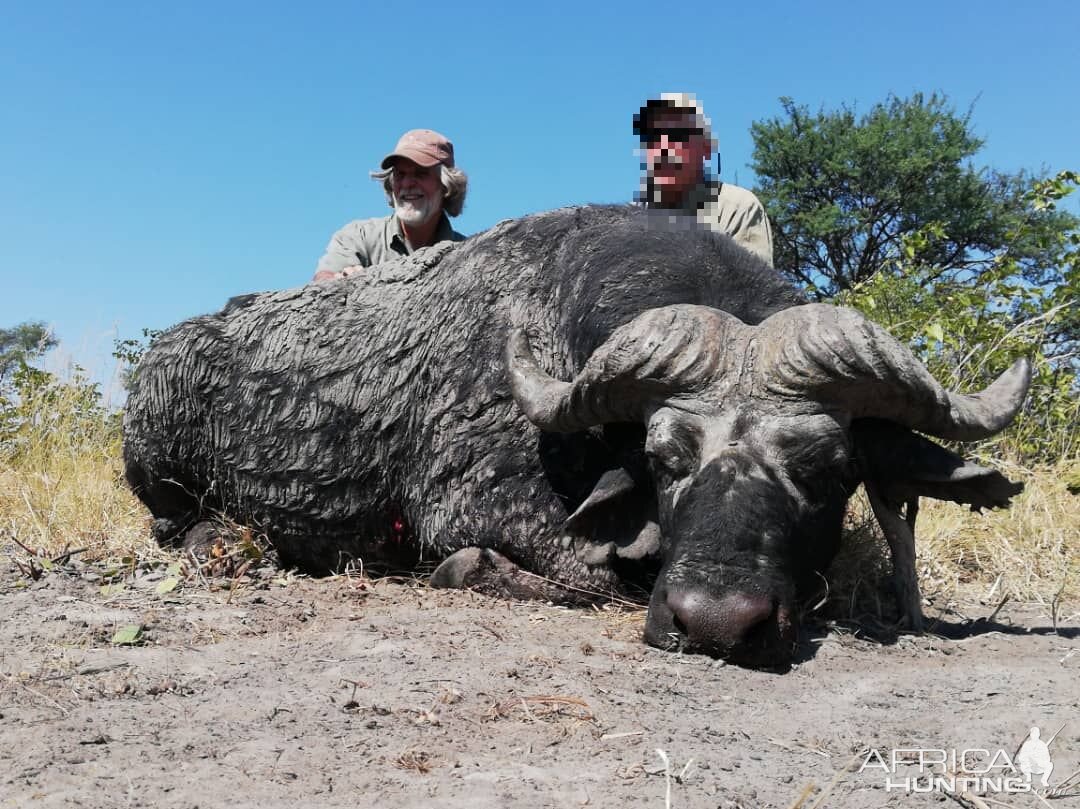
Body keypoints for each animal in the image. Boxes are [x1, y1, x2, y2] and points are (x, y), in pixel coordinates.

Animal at [126, 205, 1028, 665]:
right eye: (664, 458)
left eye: (830, 467)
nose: (715, 621)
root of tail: (167, 352)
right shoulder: (475, 505)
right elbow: (577, 569)